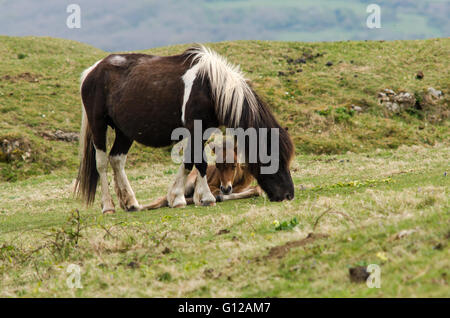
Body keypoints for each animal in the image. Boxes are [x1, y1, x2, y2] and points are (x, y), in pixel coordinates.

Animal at [76, 44, 296, 214]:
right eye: (274, 159)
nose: (288, 195)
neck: (209, 88)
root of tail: (92, 71)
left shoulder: (203, 130)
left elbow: (191, 161)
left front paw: (179, 197)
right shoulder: (195, 129)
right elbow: (199, 162)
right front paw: (205, 198)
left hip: (125, 132)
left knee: (117, 160)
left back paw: (130, 203)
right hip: (98, 125)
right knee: (102, 163)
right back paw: (108, 206)